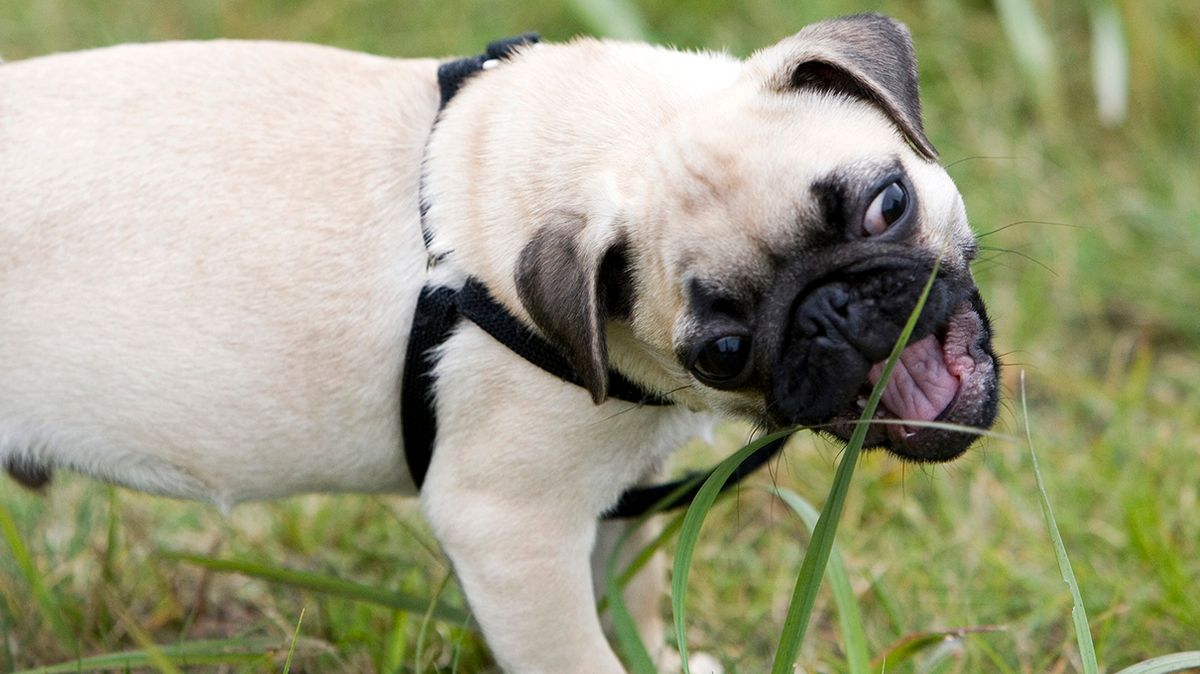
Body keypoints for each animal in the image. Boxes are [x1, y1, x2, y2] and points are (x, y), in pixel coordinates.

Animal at [0, 11, 1003, 671]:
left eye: (887, 204)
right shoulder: (511, 531)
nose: (830, 311)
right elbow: (580, 656)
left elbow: (630, 592)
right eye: (721, 352)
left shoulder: (622, 494)